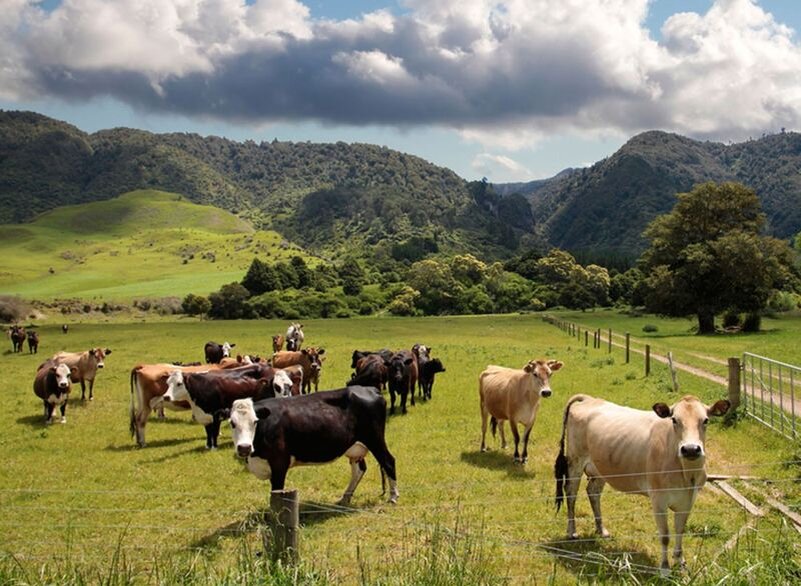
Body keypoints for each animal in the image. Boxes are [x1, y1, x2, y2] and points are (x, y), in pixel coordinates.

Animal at [220, 386, 398, 504]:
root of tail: (370, 389)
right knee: (359, 469)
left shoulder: (279, 464)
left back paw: (393, 496)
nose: (244, 447)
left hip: (374, 438)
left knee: (388, 461)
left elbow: (276, 492)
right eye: (232, 423)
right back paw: (345, 497)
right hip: (356, 446)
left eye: (255, 421)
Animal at [552, 392, 728, 572]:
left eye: (705, 420)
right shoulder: (658, 499)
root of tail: (589, 398)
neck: (686, 475)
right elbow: (665, 535)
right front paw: (664, 568)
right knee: (571, 493)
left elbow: (680, 530)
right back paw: (572, 531)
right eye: (674, 420)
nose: (691, 449)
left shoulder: (688, 500)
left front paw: (681, 563)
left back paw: (602, 530)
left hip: (600, 468)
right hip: (575, 460)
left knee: (593, 492)